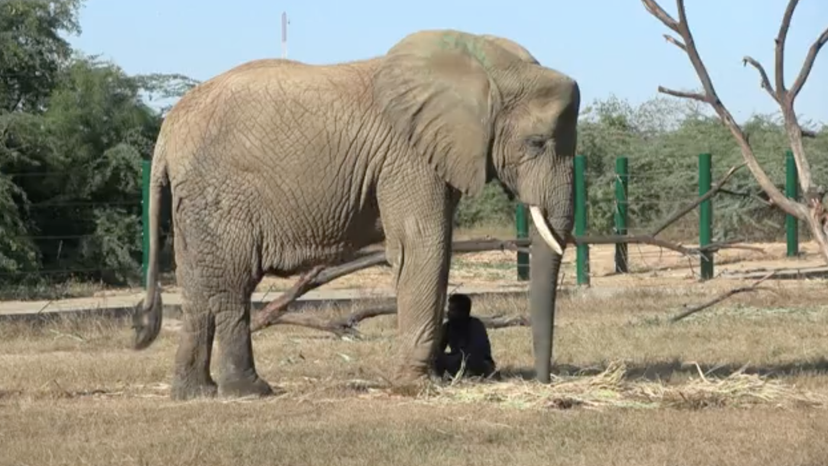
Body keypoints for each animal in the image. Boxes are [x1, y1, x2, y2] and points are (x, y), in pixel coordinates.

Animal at [132, 28, 580, 400]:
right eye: (537, 142)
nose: (546, 383)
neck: (487, 68)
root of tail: (167, 131)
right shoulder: (406, 155)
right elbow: (423, 245)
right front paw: (416, 385)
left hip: (195, 200)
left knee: (197, 287)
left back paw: (195, 394)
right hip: (221, 194)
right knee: (231, 285)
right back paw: (249, 391)